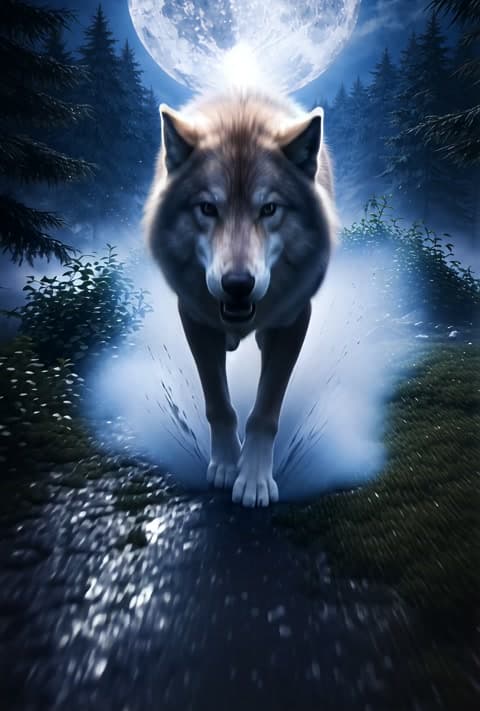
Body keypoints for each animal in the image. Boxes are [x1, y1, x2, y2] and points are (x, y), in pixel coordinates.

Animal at [145, 90, 338, 507]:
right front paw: (225, 467)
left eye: (268, 209)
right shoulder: (195, 318)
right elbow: (219, 404)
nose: (237, 284)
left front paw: (253, 481)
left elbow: (264, 412)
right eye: (207, 208)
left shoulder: (293, 320)